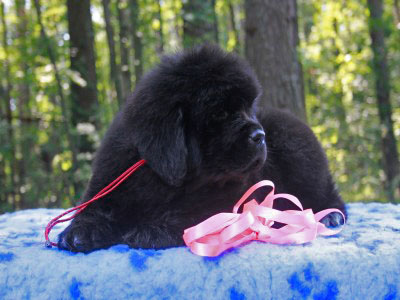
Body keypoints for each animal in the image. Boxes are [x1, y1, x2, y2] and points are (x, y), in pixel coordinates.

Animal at [57, 44, 346, 252]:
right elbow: (93, 209)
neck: (160, 177)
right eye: (220, 113)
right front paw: (79, 232)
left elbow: (190, 213)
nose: (260, 135)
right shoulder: (109, 180)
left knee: (328, 195)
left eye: (248, 108)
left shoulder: (226, 199)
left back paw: (329, 216)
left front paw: (151, 229)